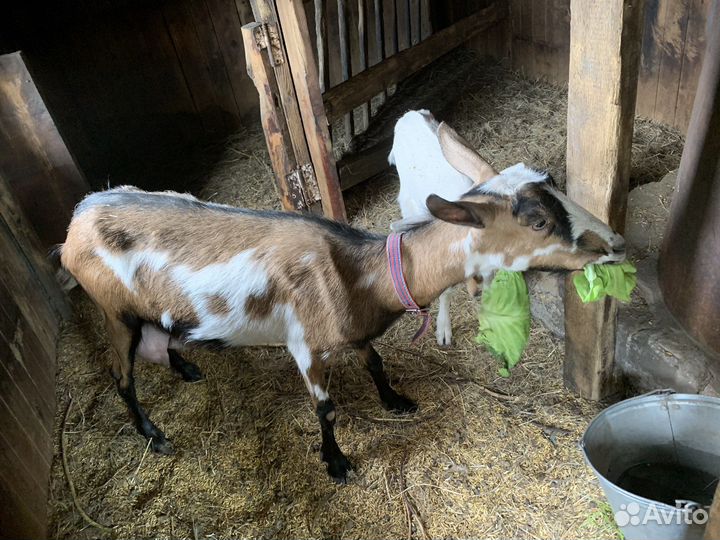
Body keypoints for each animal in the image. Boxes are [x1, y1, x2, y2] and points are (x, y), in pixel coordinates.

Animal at [60, 135, 625, 483]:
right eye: (537, 220)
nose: (615, 244)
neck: (361, 273)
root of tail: (77, 219)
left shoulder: (354, 332)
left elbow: (375, 360)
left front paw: (396, 401)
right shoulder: (305, 345)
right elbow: (326, 408)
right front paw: (337, 464)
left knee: (161, 336)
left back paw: (187, 366)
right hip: (114, 311)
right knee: (122, 375)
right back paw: (153, 435)